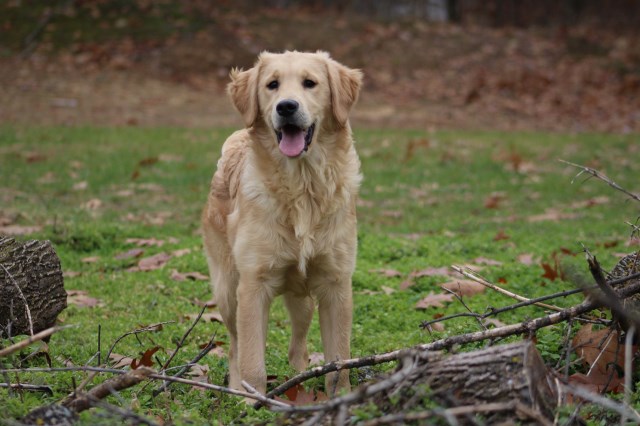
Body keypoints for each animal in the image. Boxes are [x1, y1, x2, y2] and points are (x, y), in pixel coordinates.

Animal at [202, 50, 362, 400]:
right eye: (272, 85)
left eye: (310, 83)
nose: (286, 106)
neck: (302, 186)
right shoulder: (253, 285)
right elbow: (252, 362)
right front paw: (252, 402)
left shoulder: (336, 284)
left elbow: (338, 360)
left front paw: (340, 399)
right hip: (227, 289)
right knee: (235, 347)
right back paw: (237, 390)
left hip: (301, 299)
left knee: (297, 347)